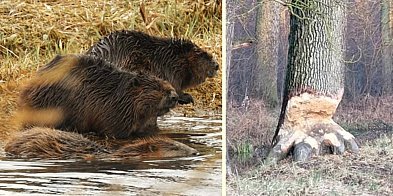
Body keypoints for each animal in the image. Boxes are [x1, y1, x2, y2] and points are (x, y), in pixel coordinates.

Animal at [86, 30, 220, 104]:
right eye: (203, 54)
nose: (217, 65)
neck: (171, 56)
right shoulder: (171, 70)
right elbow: (175, 87)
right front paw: (188, 97)